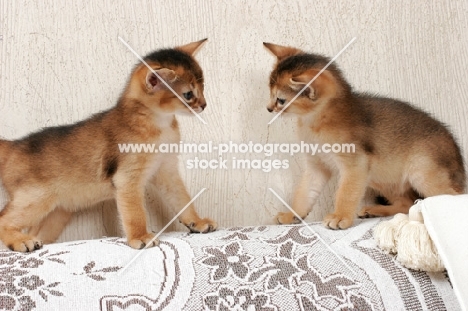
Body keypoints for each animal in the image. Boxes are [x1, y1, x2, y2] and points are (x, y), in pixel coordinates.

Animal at [0, 39, 216, 254]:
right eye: (188, 94)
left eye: (203, 87)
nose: (204, 104)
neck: (159, 124)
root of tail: (14, 145)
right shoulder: (127, 179)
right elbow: (135, 212)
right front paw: (140, 236)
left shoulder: (167, 171)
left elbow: (182, 199)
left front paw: (196, 222)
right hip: (35, 198)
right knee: (3, 219)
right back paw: (21, 241)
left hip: (56, 213)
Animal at [264, 42, 464, 230]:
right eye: (270, 94)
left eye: (280, 100)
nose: (268, 108)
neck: (314, 123)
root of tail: (456, 150)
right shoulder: (316, 166)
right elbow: (303, 193)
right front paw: (292, 215)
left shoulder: (355, 165)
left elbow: (346, 193)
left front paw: (340, 217)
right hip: (382, 176)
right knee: (406, 203)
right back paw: (374, 210)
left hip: (421, 173)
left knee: (455, 196)